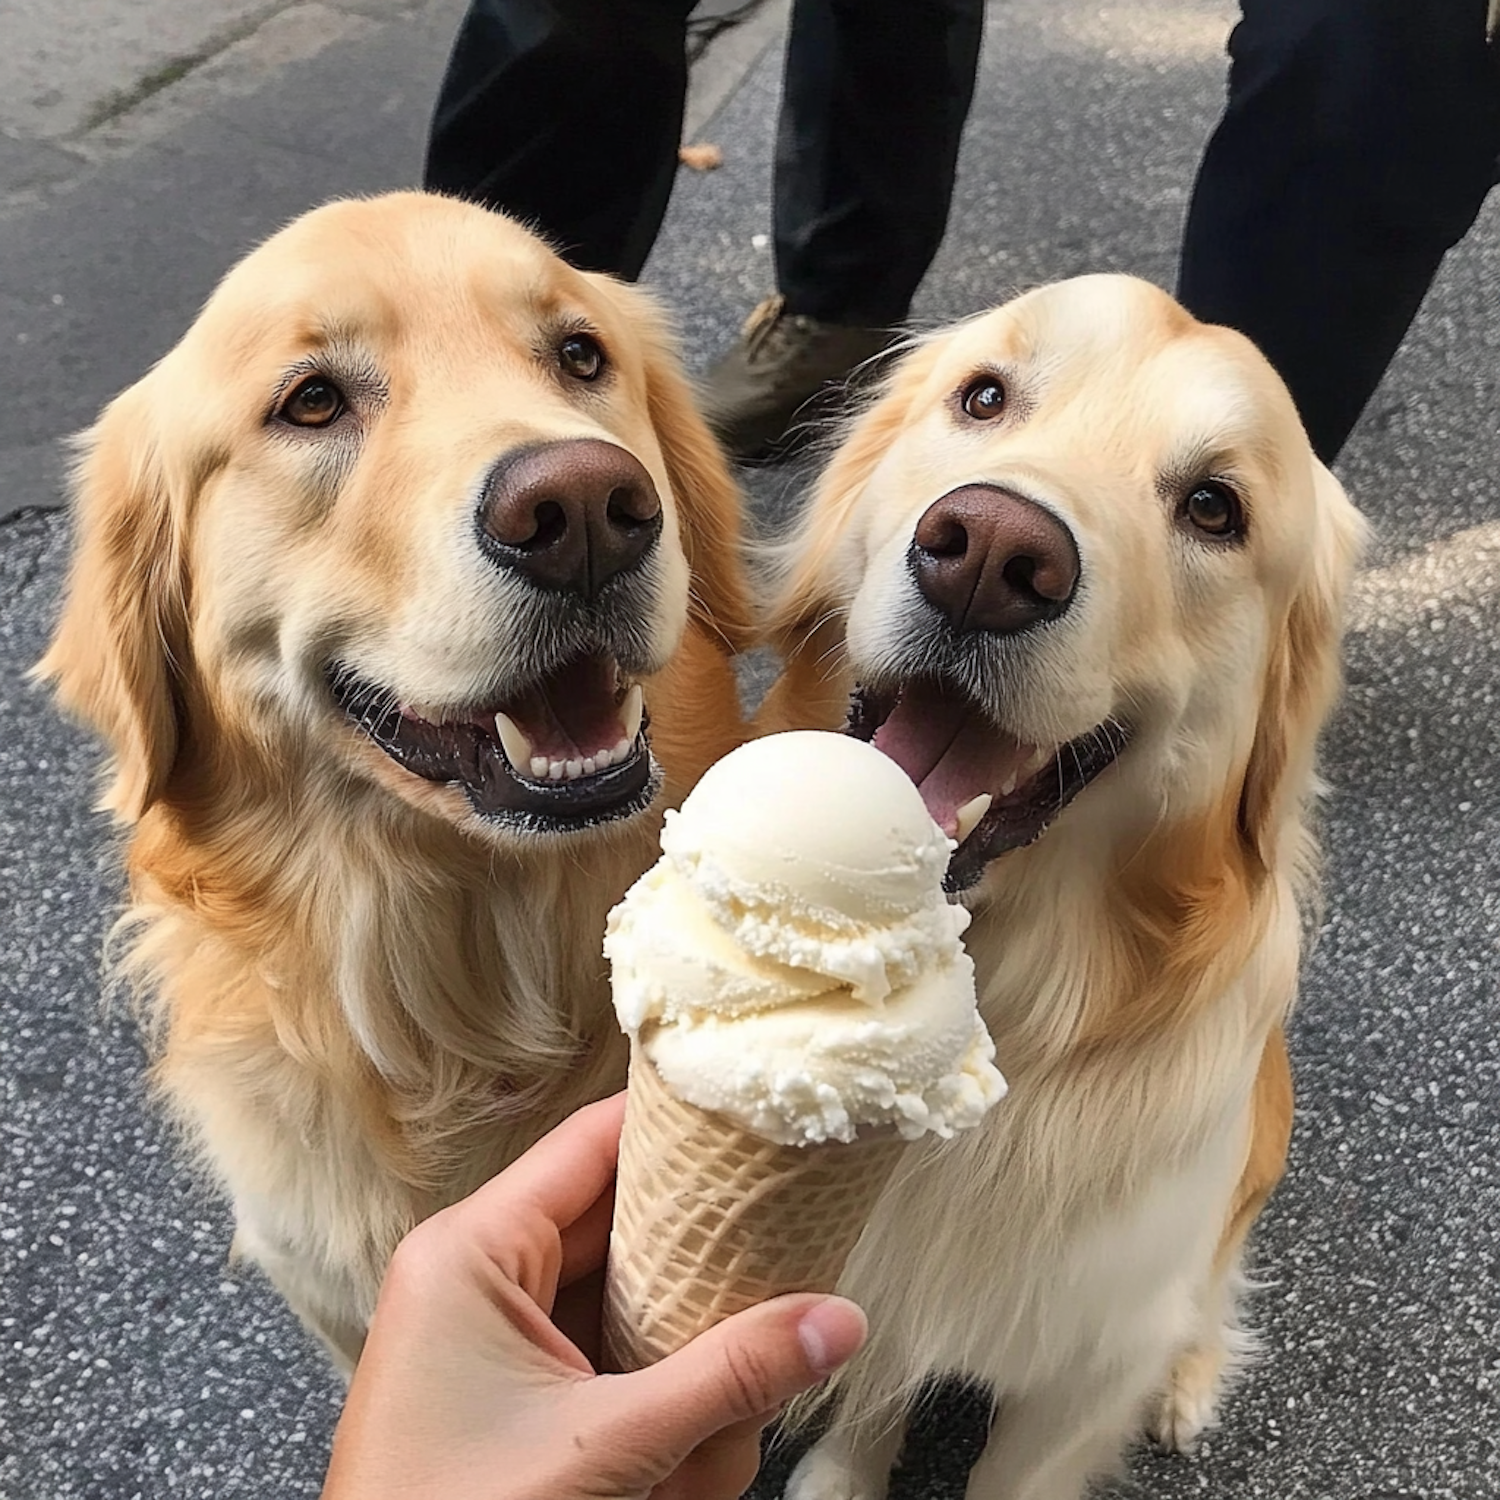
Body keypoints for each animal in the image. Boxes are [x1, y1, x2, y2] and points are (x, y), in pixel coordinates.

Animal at [762, 276, 1362, 1494]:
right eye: (984, 396)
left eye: (1215, 508)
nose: (990, 553)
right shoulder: (879, 1293)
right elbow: (869, 1399)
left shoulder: (1086, 1368)